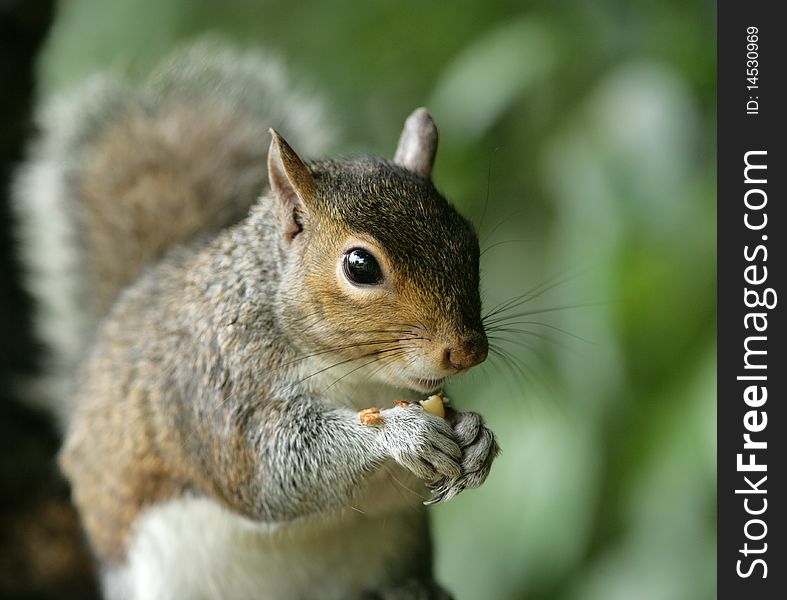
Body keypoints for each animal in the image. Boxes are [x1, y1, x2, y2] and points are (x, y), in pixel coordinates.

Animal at [12, 42, 502, 600]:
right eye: (360, 265)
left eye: (469, 240)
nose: (467, 350)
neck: (355, 377)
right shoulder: (214, 387)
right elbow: (272, 470)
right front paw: (402, 435)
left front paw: (477, 437)